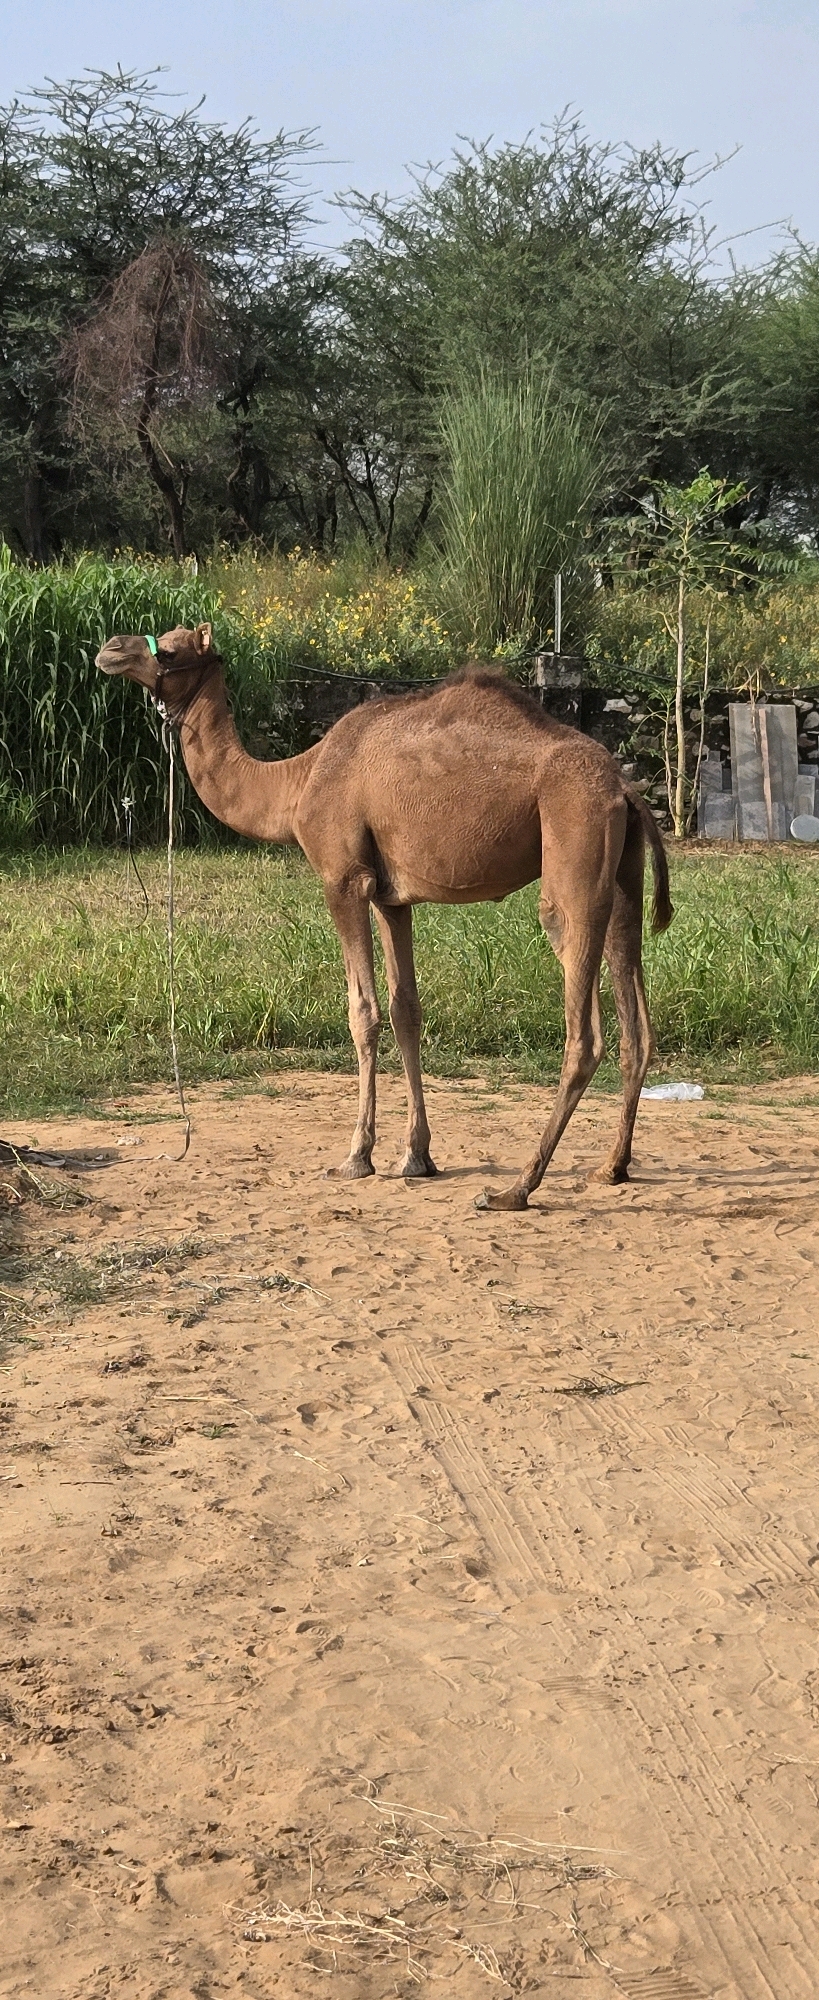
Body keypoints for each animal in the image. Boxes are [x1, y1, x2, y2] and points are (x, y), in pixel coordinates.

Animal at [96, 622, 672, 1209]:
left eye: (169, 650)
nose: (109, 649)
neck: (298, 783)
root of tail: (625, 790)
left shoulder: (344, 878)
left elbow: (363, 1011)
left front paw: (357, 1156)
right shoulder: (393, 898)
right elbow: (405, 1010)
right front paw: (416, 1156)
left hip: (573, 845)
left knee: (583, 1029)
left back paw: (516, 1188)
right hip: (621, 878)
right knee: (636, 1022)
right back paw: (611, 1166)